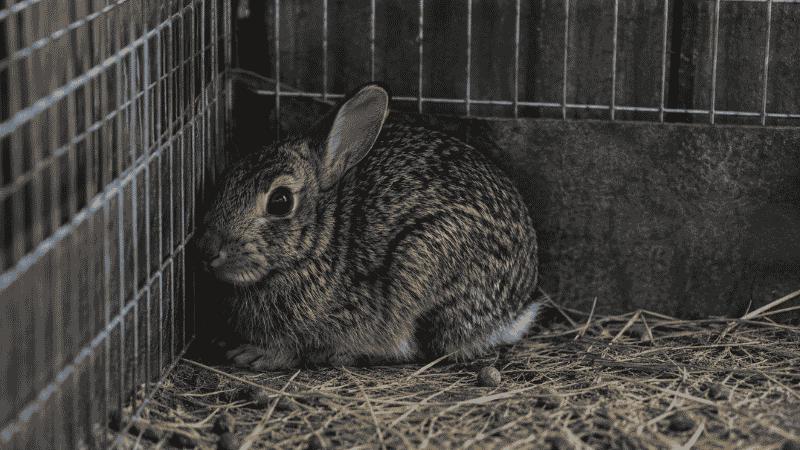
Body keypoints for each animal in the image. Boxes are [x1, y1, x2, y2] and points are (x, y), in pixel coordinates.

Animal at [195, 83, 538, 370]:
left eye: (280, 202)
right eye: (225, 181)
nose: (208, 249)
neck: (320, 242)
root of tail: (518, 309)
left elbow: (293, 349)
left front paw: (251, 354)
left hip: (424, 260)